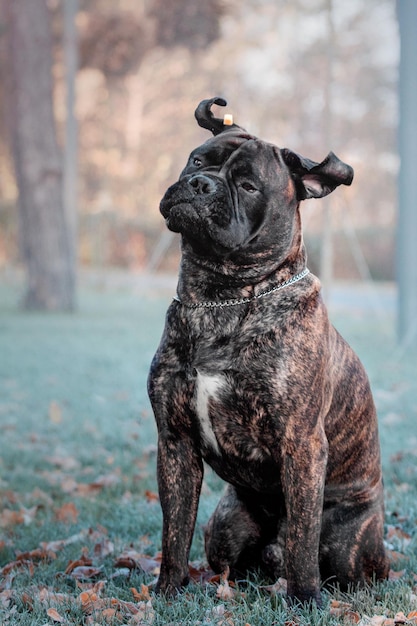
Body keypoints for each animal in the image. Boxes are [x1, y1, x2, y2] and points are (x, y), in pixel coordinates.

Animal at [148, 97, 388, 604]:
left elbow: (302, 532)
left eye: (249, 185)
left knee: (339, 565)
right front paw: (167, 591)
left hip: (348, 544)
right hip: (224, 526)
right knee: (232, 560)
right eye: (198, 160)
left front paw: (305, 599)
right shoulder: (174, 441)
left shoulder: (301, 443)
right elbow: (174, 530)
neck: (220, 296)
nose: (200, 184)